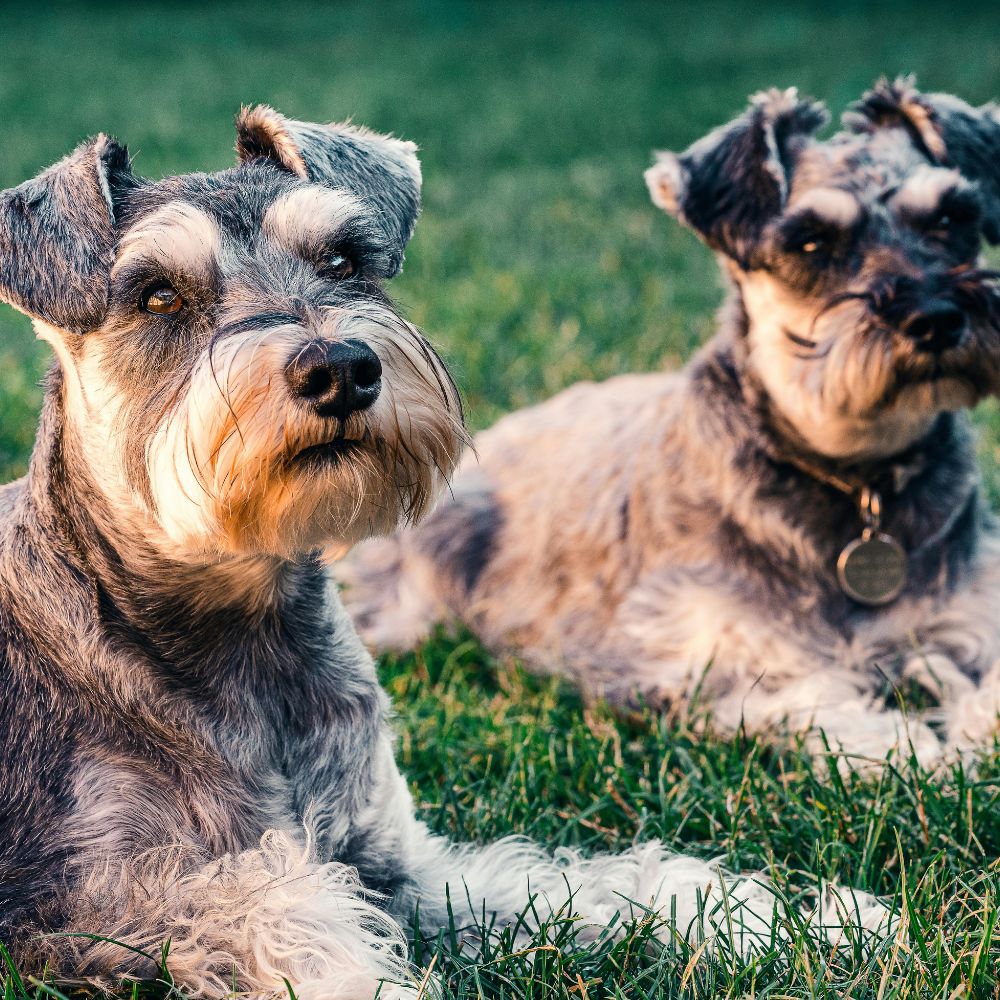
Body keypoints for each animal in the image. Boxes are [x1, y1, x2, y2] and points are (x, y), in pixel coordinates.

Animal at [0, 103, 876, 1000]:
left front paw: (791, 921)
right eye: (158, 295)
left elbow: (572, 884)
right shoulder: (116, 903)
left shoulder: (393, 862)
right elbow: (292, 926)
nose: (341, 369)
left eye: (344, 259)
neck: (242, 631)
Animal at [342, 78, 1000, 764]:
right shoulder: (720, 656)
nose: (936, 318)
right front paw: (926, 751)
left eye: (951, 218)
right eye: (811, 241)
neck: (859, 479)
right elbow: (830, 705)